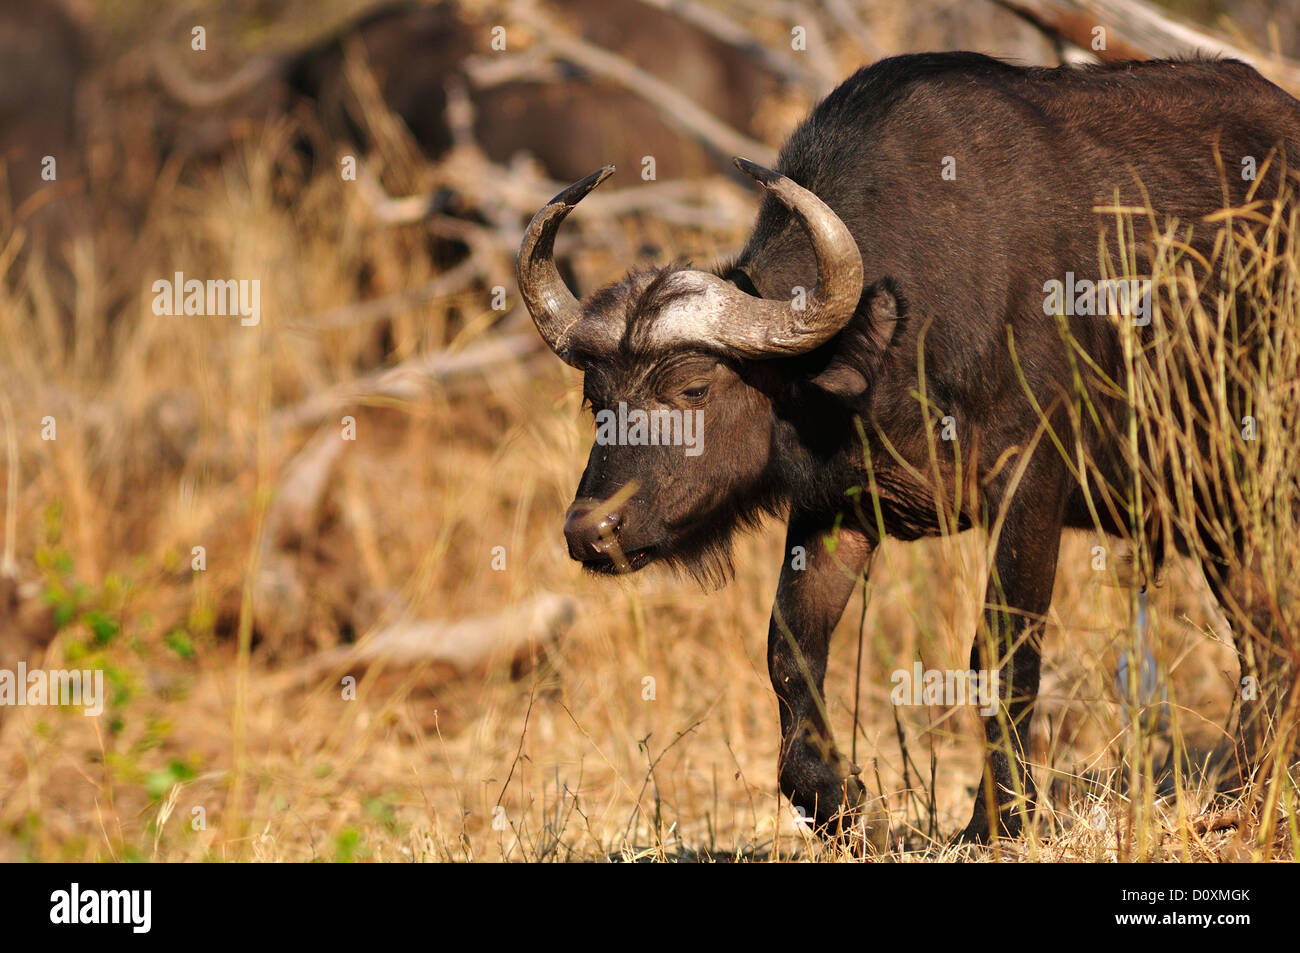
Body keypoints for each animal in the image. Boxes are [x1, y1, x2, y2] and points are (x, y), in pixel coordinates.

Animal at [512, 52, 1300, 842]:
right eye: (595, 399)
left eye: (693, 388)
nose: (590, 530)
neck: (900, 332)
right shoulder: (839, 506)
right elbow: (789, 647)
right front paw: (835, 799)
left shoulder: (1030, 488)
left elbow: (1003, 654)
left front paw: (996, 820)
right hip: (1223, 514)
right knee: (1267, 638)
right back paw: (1240, 791)